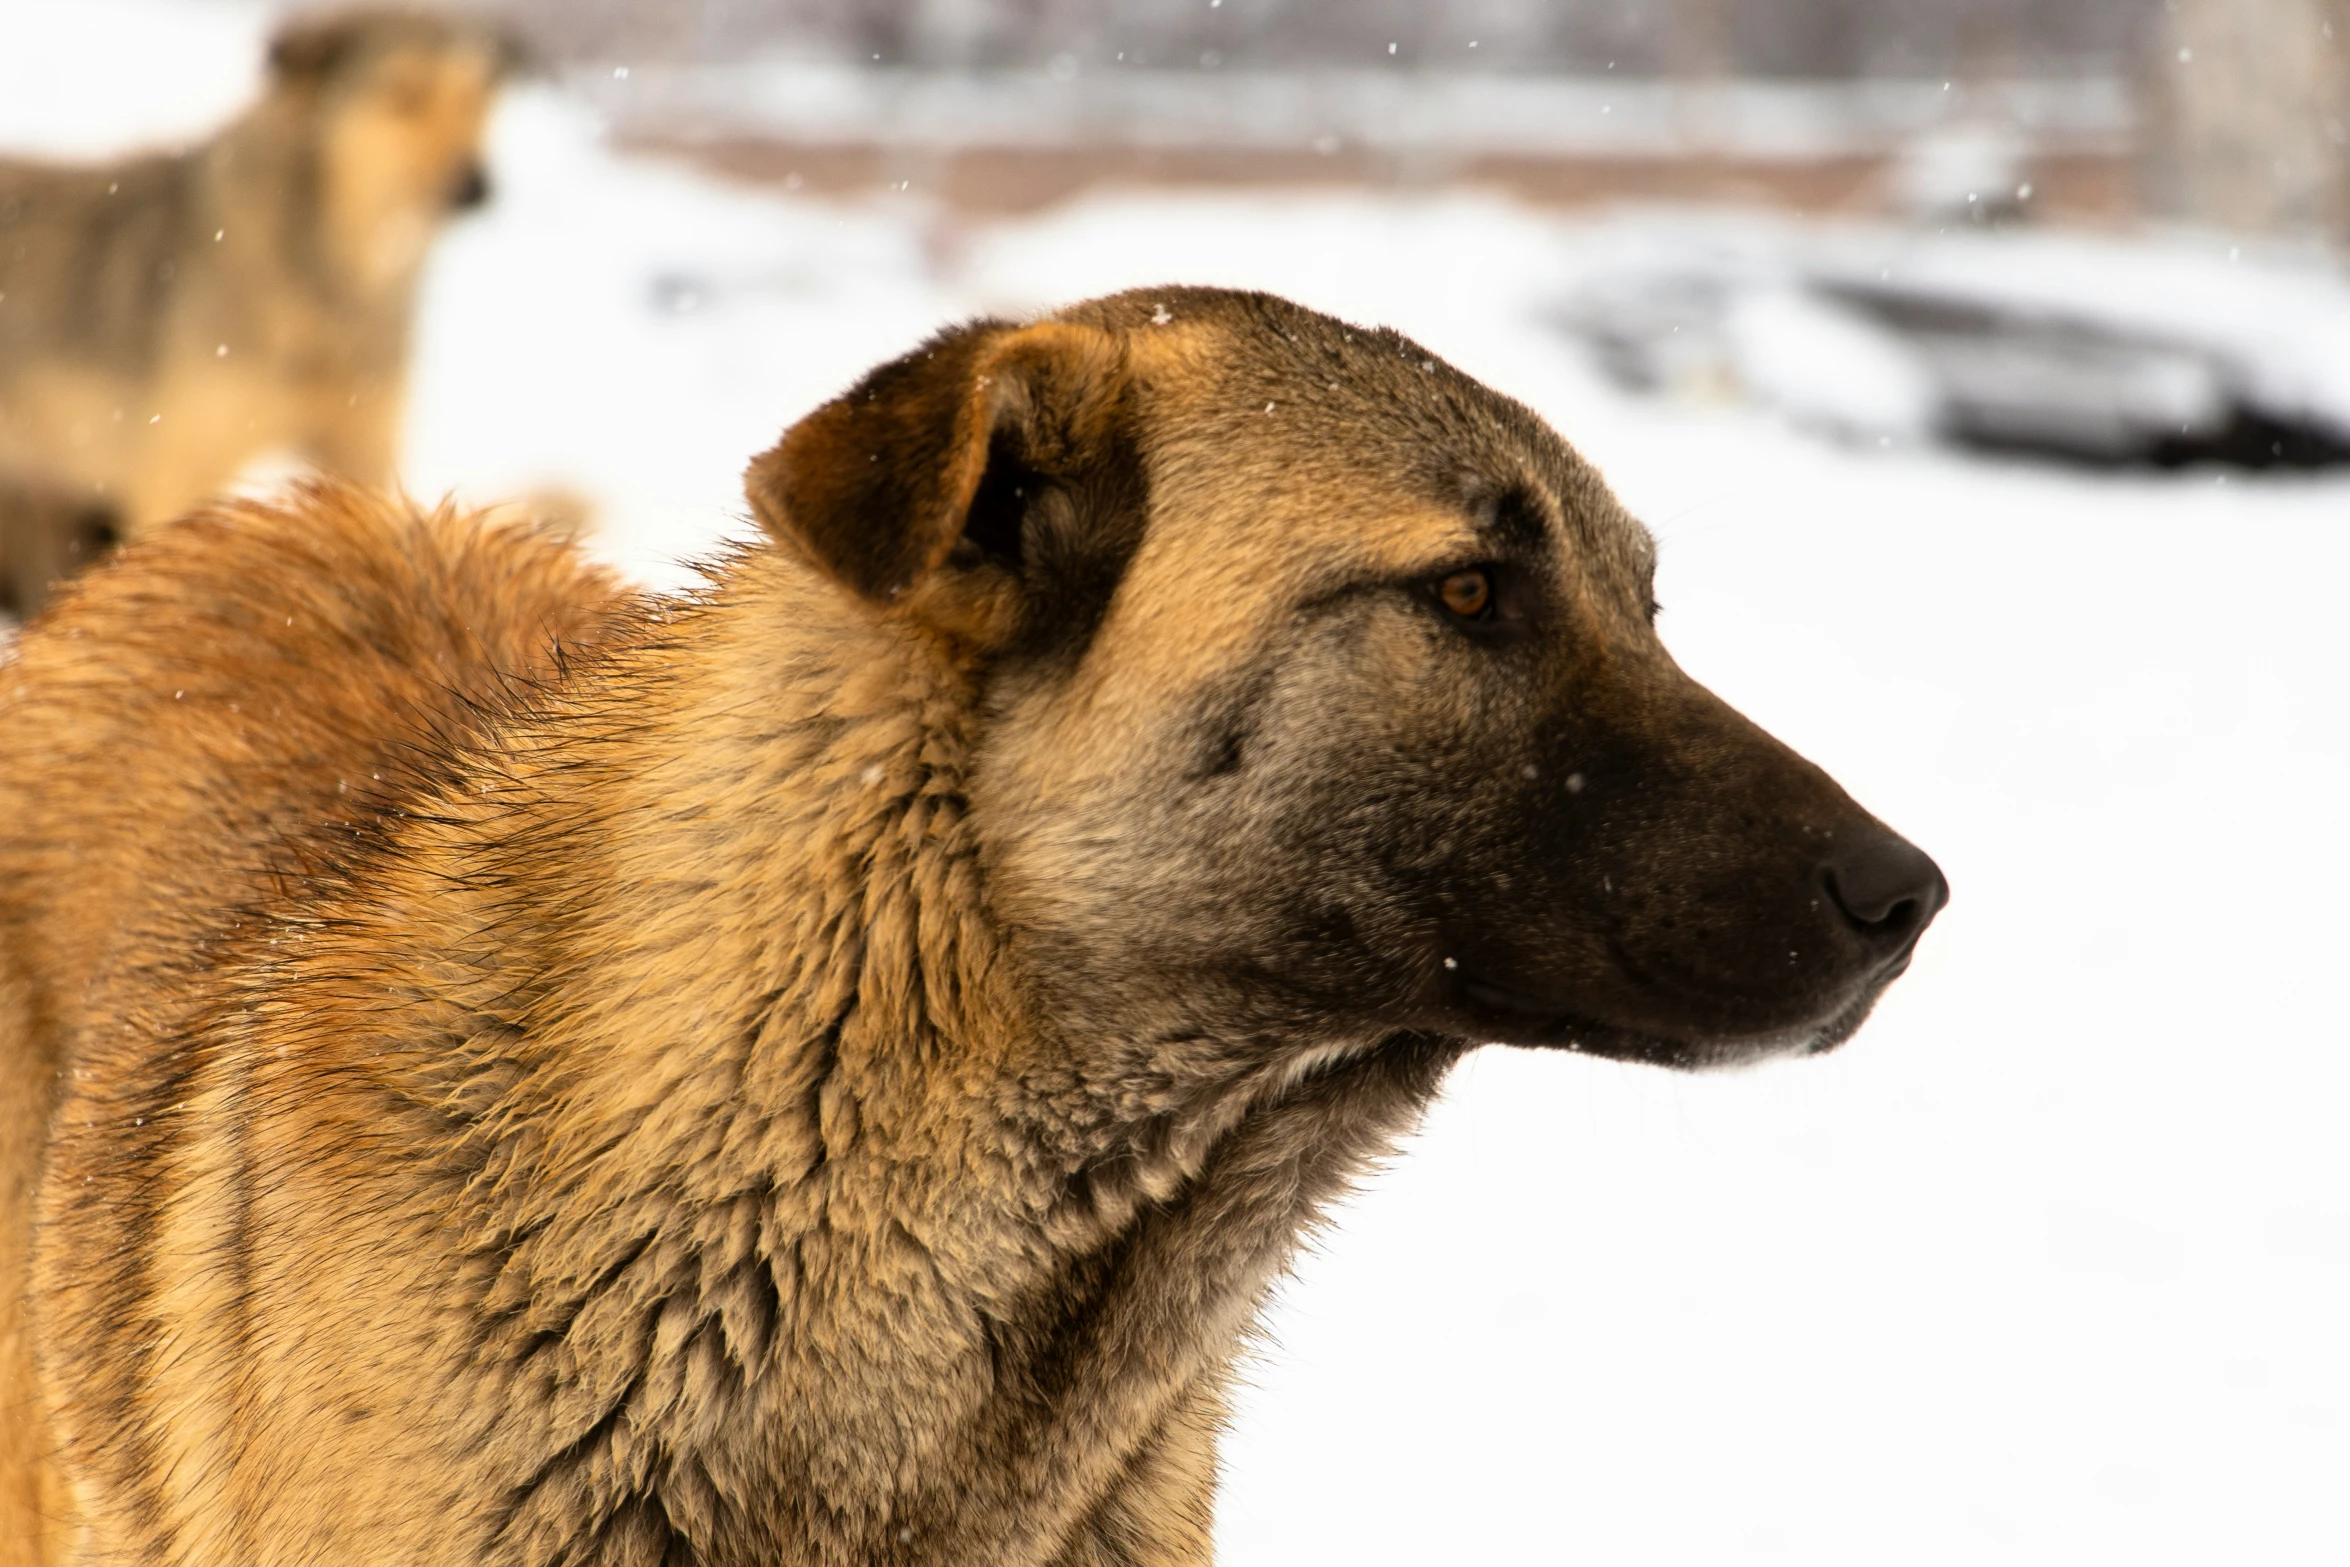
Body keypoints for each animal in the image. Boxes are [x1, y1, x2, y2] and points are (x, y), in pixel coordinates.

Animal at [0, 7, 514, 620]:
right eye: (401, 96)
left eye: (476, 100)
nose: (478, 188)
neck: (326, 282)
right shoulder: (174, 475)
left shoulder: (363, 451)